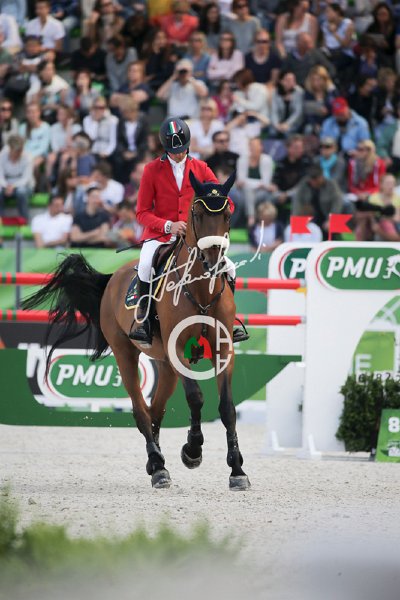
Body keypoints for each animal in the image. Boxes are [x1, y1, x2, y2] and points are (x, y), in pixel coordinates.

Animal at [22, 171, 250, 491]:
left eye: (228, 214)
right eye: (197, 214)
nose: (213, 262)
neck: (200, 289)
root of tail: (113, 277)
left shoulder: (223, 349)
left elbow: (227, 407)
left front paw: (237, 470)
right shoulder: (176, 350)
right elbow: (196, 398)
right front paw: (192, 451)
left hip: (165, 366)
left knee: (155, 410)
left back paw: (156, 461)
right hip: (126, 354)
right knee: (141, 410)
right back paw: (158, 467)